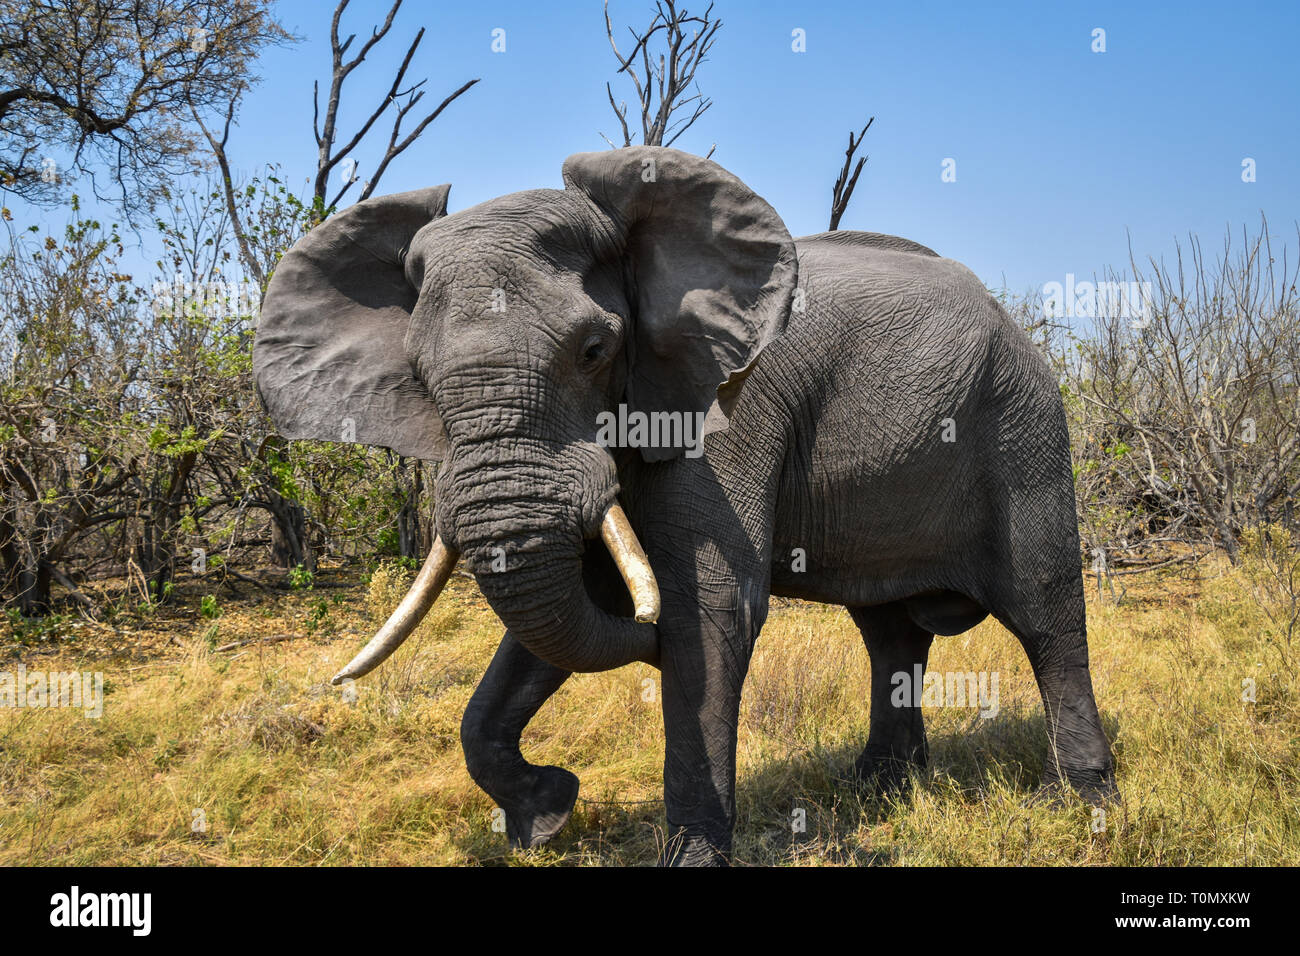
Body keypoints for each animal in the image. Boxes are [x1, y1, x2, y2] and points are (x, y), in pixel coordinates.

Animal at [250, 143, 1118, 868]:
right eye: (422, 379)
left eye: (594, 351)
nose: (646, 638)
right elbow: (569, 611)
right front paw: (548, 816)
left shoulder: (723, 410)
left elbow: (708, 609)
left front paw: (688, 855)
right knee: (890, 632)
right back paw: (879, 788)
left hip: (1022, 423)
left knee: (1045, 613)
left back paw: (1081, 808)